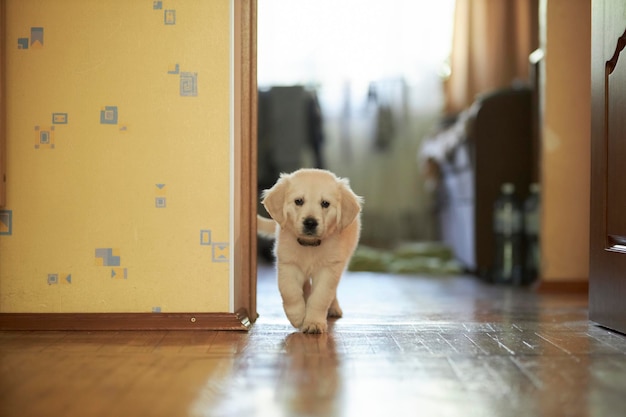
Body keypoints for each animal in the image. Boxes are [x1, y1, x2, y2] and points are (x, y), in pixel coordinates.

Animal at [256, 167, 358, 334]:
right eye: (299, 201)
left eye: (325, 203)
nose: (310, 222)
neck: (310, 246)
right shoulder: (288, 264)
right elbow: (290, 291)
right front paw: (297, 316)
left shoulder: (329, 268)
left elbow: (320, 297)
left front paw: (314, 323)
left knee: (333, 291)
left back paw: (333, 308)